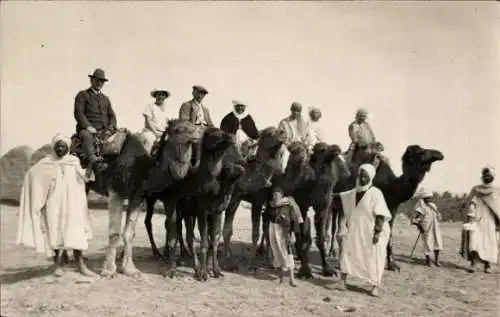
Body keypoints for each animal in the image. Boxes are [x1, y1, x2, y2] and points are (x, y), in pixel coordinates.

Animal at [70, 118, 199, 276]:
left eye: (191, 125)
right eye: (178, 129)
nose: (196, 133)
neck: (141, 170)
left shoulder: (138, 196)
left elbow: (129, 233)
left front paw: (130, 269)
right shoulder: (115, 192)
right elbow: (114, 233)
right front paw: (109, 270)